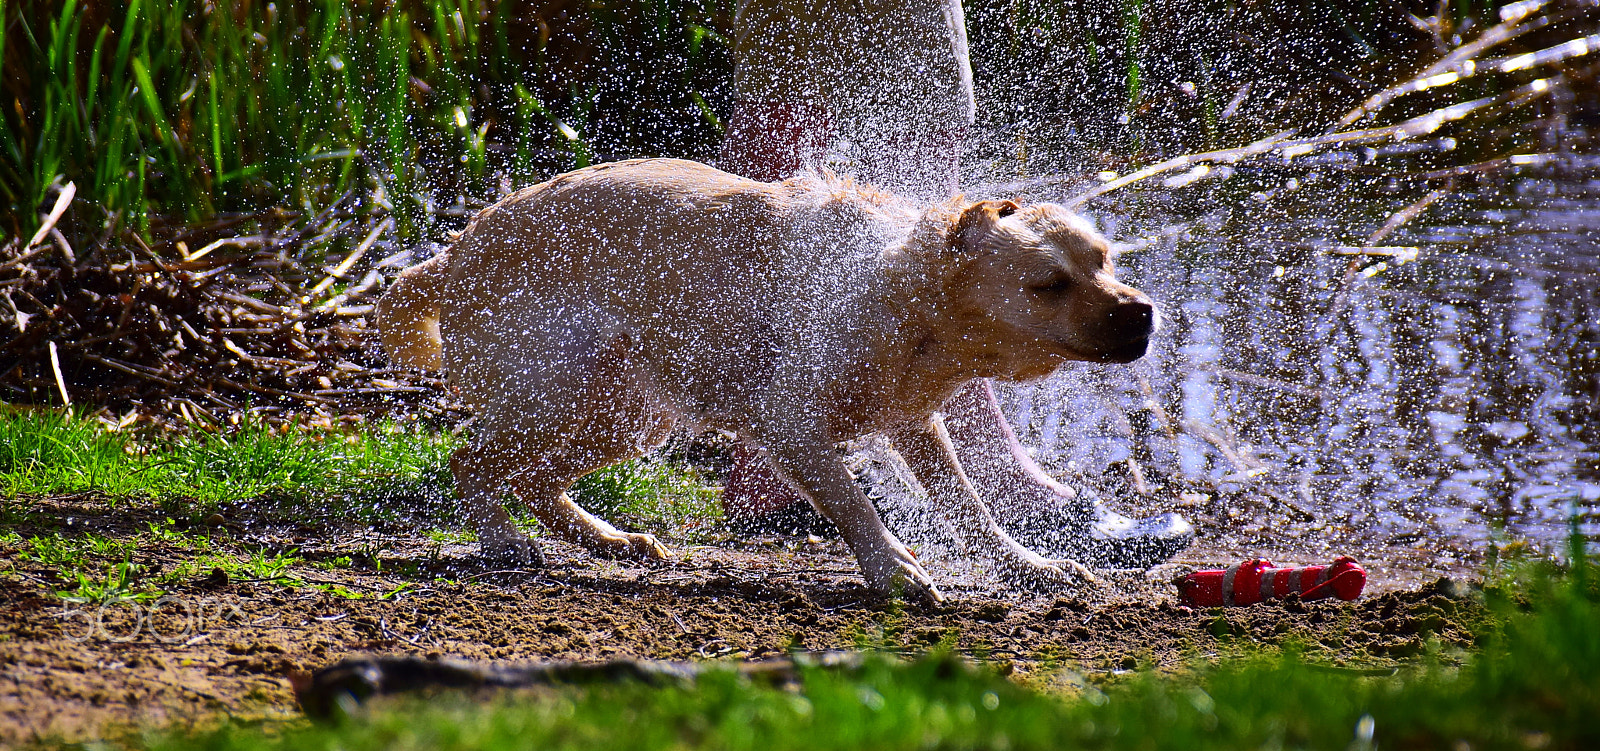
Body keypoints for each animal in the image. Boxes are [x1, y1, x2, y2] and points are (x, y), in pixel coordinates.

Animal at [384, 159, 1164, 602]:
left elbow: (972, 508)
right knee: (472, 461)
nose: (1144, 312)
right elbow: (855, 505)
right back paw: (503, 542)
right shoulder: (791, 428)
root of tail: (449, 257)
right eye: (1048, 284)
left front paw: (1032, 566)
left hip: (629, 415)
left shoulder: (918, 425)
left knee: (536, 479)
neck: (899, 295)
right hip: (559, 392)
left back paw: (610, 540)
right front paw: (894, 569)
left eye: (1104, 259)